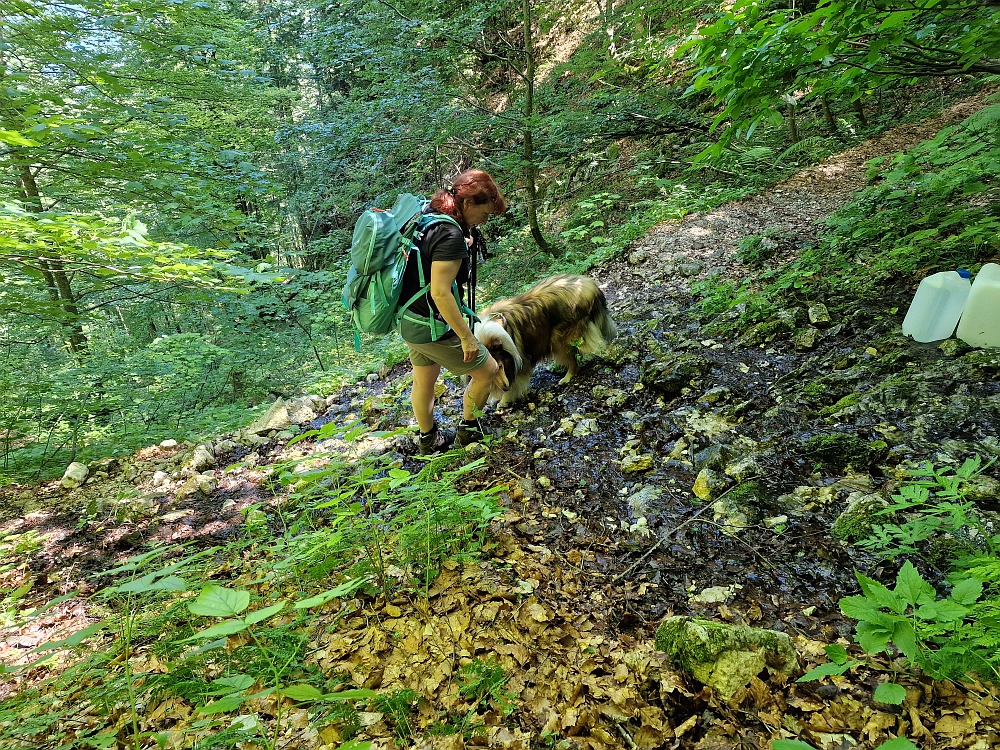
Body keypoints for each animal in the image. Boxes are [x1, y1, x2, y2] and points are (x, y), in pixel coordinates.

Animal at [474, 274, 616, 408]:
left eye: (500, 366)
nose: (505, 387)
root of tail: (590, 284)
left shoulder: (518, 360)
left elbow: (514, 382)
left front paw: (504, 400)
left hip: (561, 339)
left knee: (575, 360)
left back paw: (567, 377)